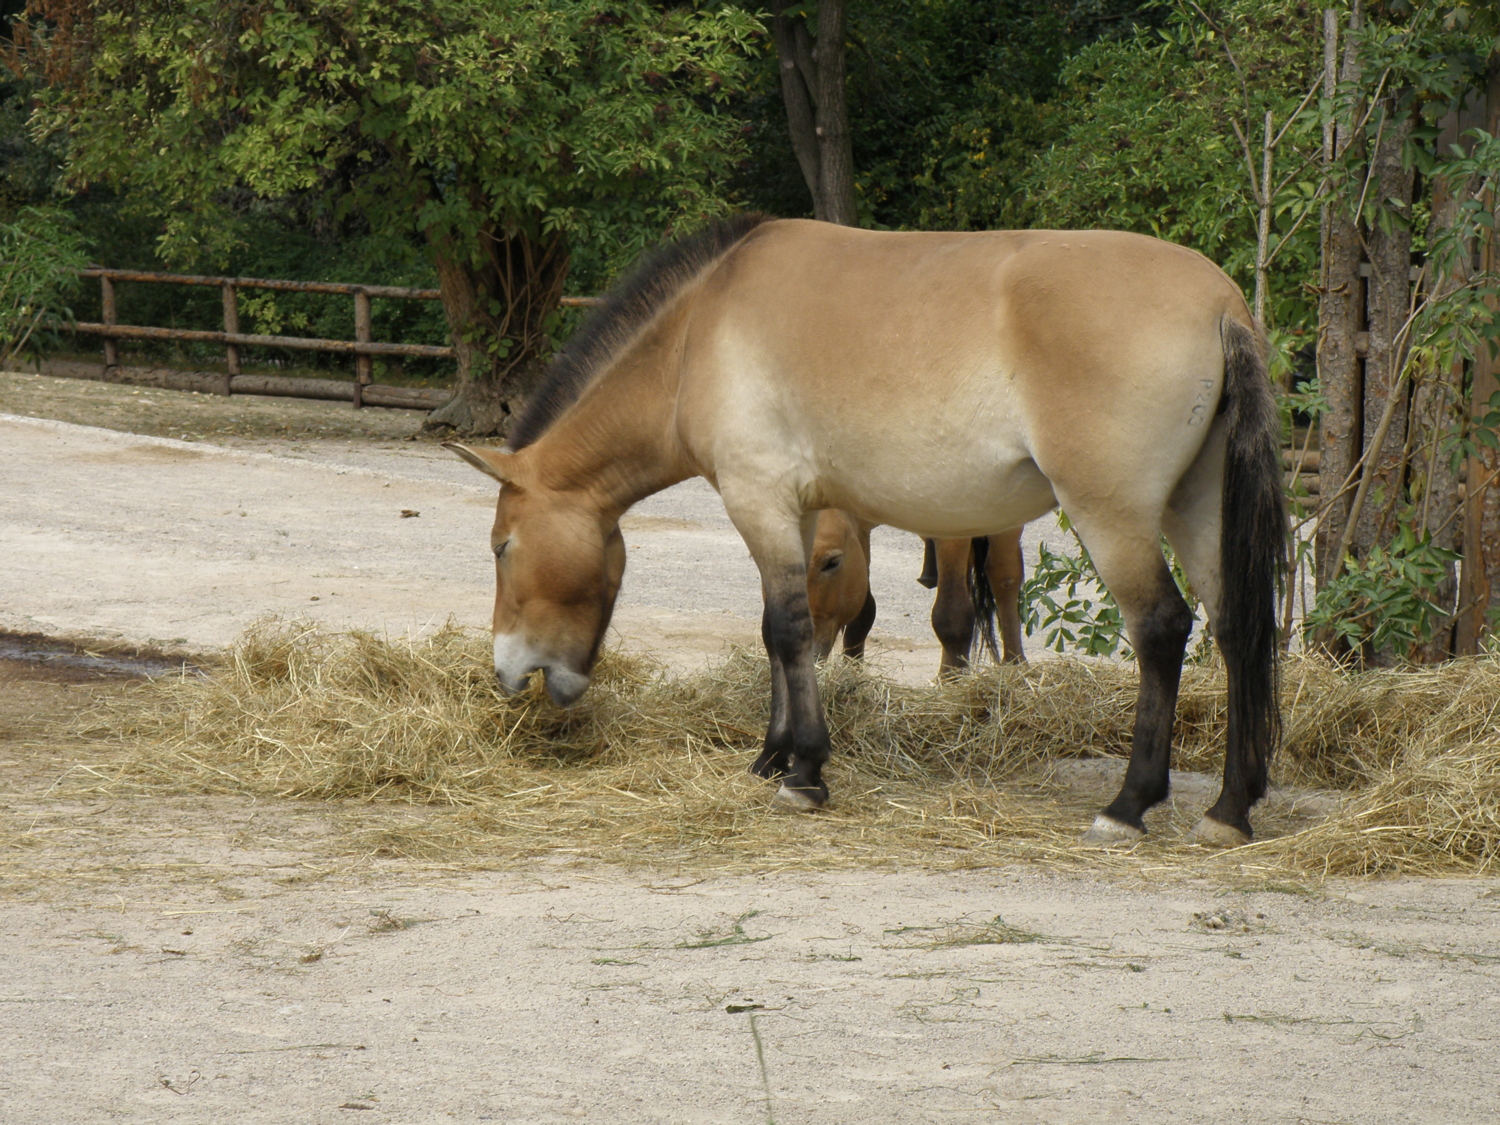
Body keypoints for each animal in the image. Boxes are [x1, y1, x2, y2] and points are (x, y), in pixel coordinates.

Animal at [810, 516, 1032, 675]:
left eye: (832, 562)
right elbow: (862, 616)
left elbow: (952, 617)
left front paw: (951, 683)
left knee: (1004, 578)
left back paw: (1015, 666)